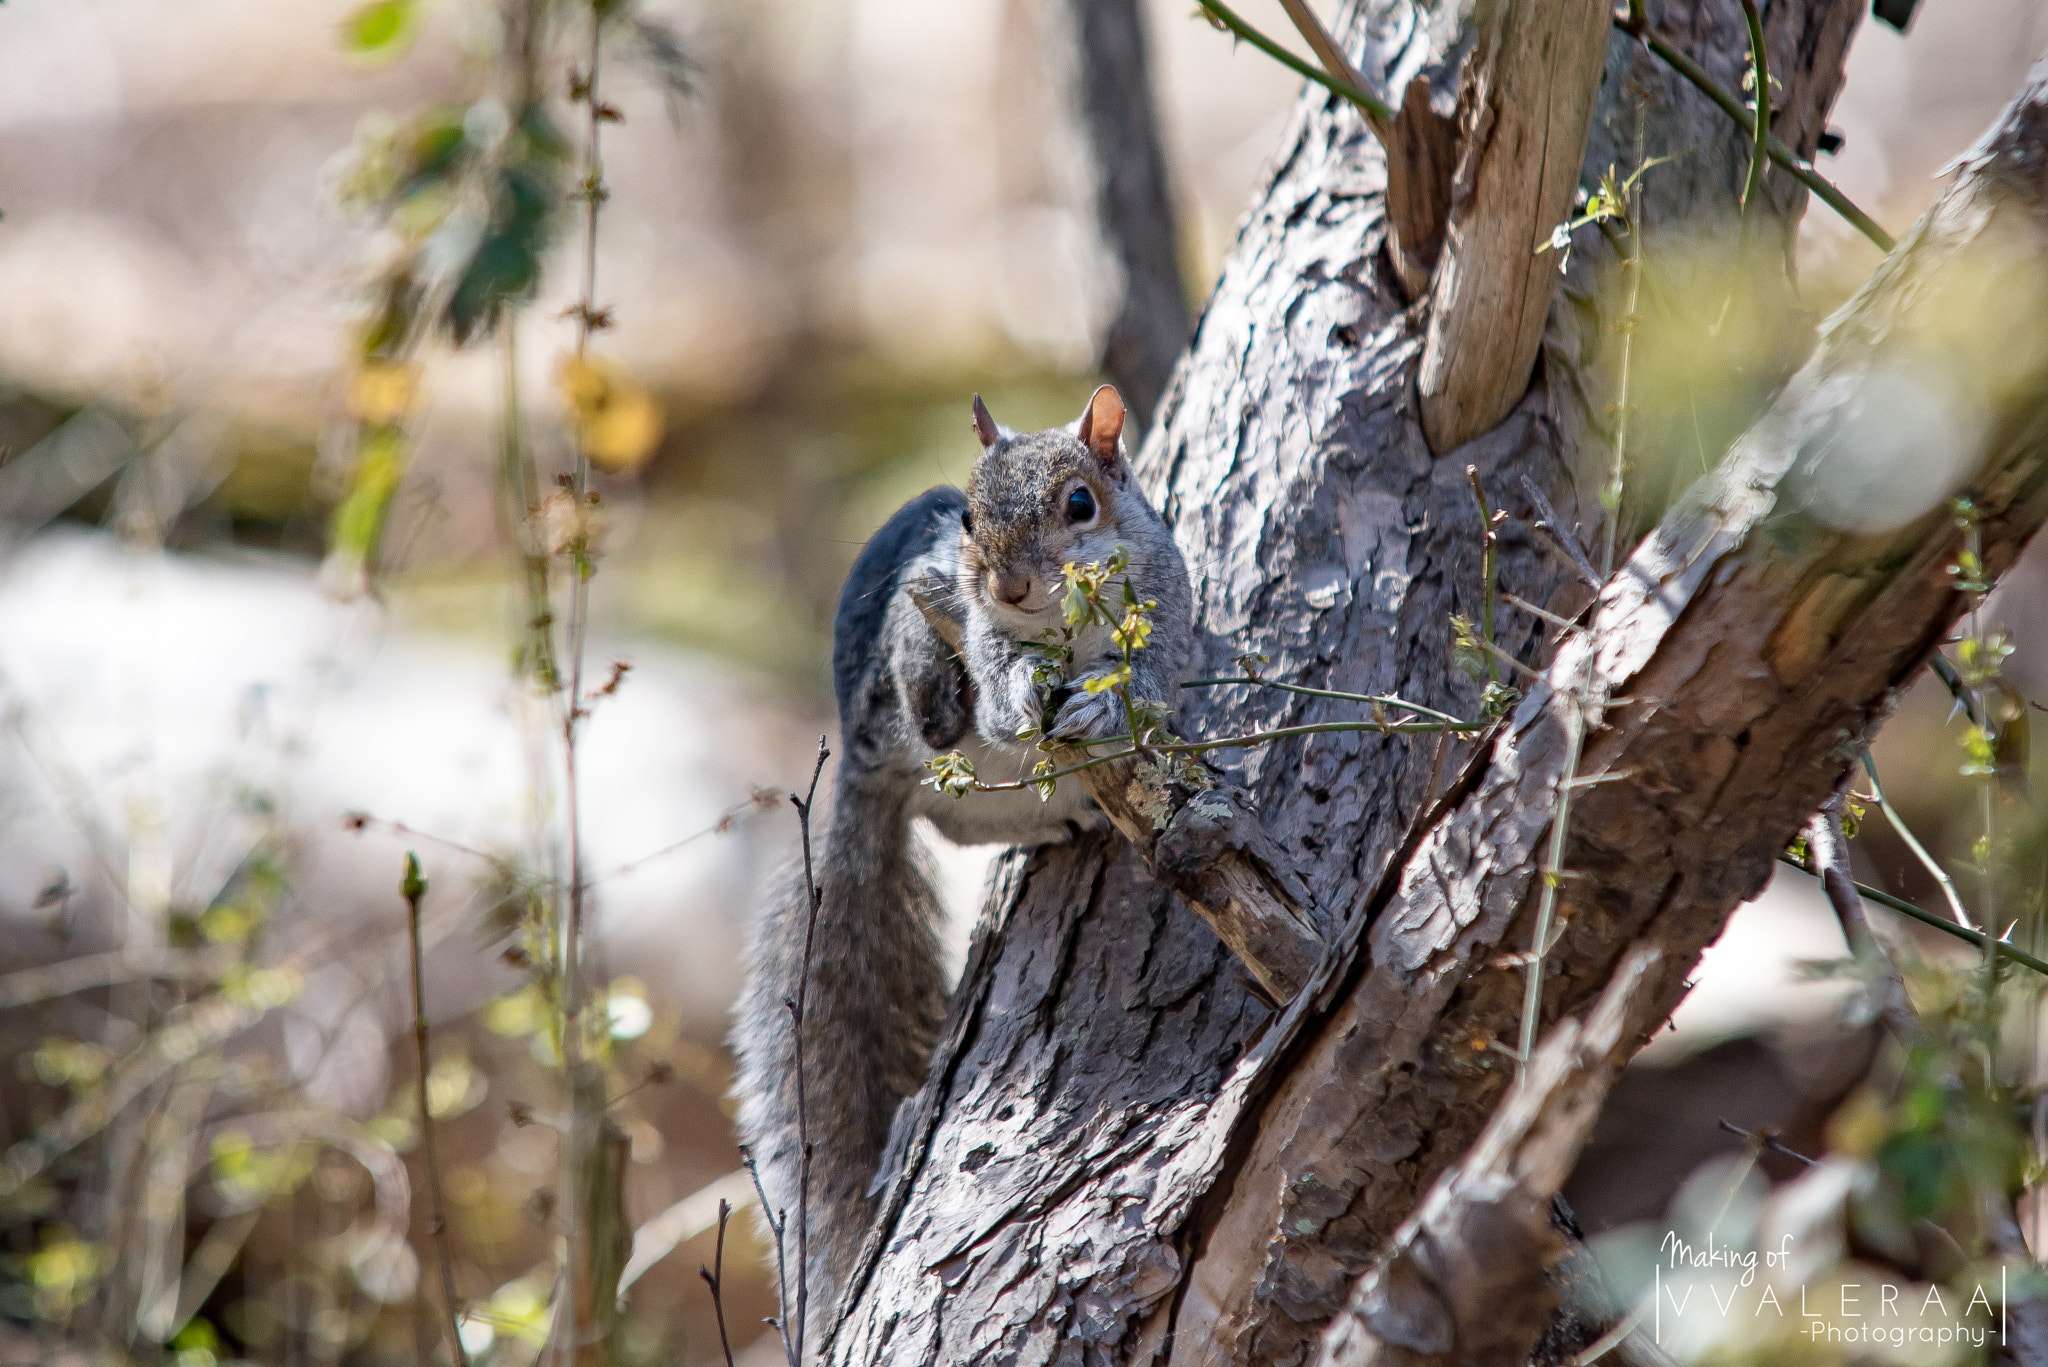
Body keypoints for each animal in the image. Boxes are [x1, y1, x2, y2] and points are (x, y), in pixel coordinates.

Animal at [737, 385, 1196, 1328]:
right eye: (971, 519)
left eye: (1081, 503)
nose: (1011, 585)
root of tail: (862, 767)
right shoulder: (970, 616)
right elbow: (997, 668)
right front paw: (1022, 688)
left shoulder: (1166, 607)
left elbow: (1154, 675)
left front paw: (1107, 705)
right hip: (907, 662)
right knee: (946, 752)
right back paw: (967, 728)